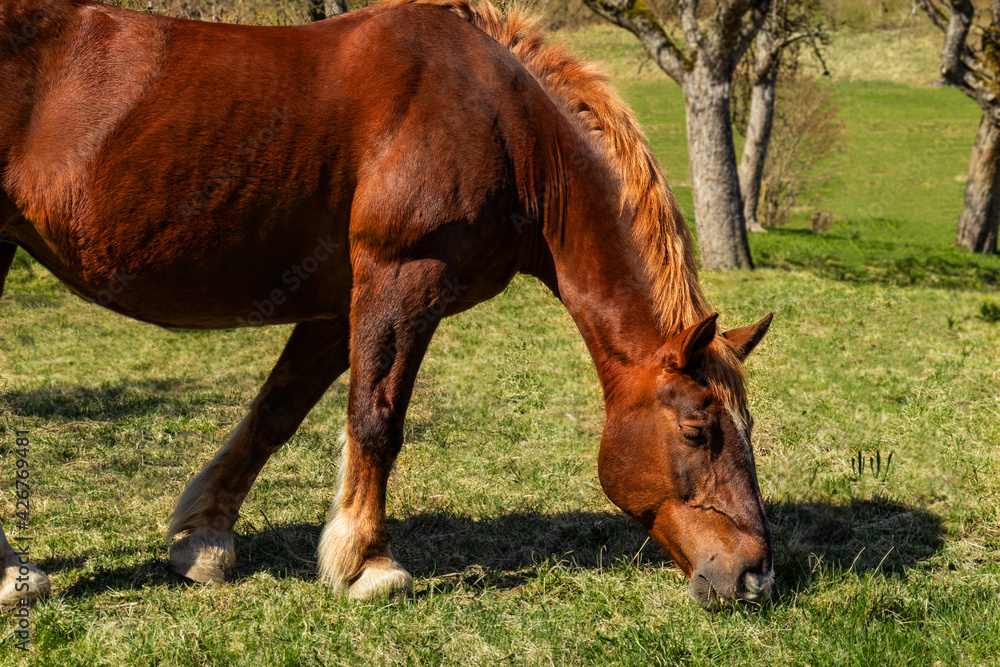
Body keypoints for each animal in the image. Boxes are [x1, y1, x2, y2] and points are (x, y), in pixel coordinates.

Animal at [0, 0, 774, 609]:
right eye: (699, 431)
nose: (755, 577)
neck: (503, 123)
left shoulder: (334, 306)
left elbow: (274, 415)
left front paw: (205, 539)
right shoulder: (403, 279)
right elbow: (377, 422)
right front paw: (367, 564)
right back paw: (14, 576)